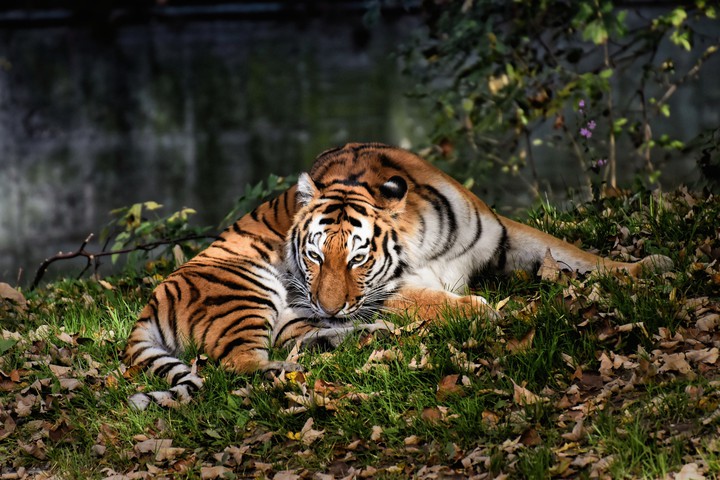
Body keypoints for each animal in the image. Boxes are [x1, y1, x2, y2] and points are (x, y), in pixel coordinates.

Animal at [124, 143, 672, 409]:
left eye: (357, 259)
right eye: (315, 257)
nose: (326, 306)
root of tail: (149, 303)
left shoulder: (504, 238)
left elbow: (573, 252)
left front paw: (647, 266)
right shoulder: (391, 289)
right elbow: (434, 300)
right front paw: (481, 312)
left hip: (291, 317)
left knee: (299, 341)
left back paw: (360, 341)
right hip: (246, 287)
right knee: (239, 365)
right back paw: (290, 372)